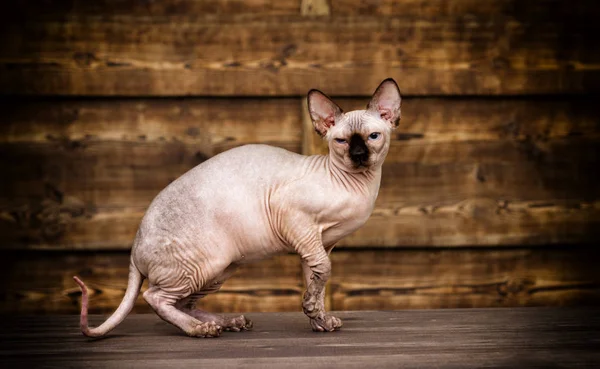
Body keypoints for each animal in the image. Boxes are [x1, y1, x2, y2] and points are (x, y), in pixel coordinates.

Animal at [76, 77, 404, 336]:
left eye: (373, 137)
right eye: (342, 141)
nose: (359, 155)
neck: (354, 185)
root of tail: (134, 246)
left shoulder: (320, 243)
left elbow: (319, 280)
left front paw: (318, 318)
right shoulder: (298, 224)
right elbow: (324, 270)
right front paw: (312, 308)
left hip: (222, 267)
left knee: (182, 302)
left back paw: (225, 322)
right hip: (208, 262)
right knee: (154, 297)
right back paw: (200, 329)